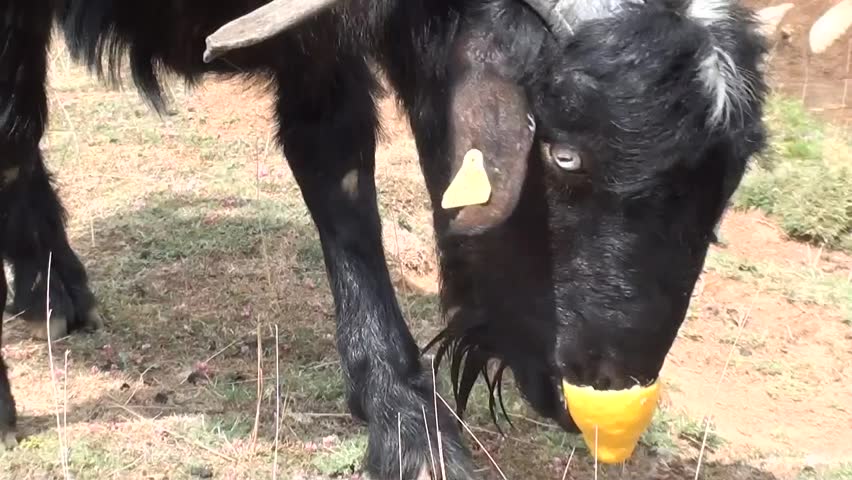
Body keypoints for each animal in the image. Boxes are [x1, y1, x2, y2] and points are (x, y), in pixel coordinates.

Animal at [0, 0, 768, 477]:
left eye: (728, 183)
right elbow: (10, 130)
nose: (608, 399)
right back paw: (50, 288)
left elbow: (338, 172)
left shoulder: (318, 42)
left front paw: (407, 423)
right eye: (564, 154)